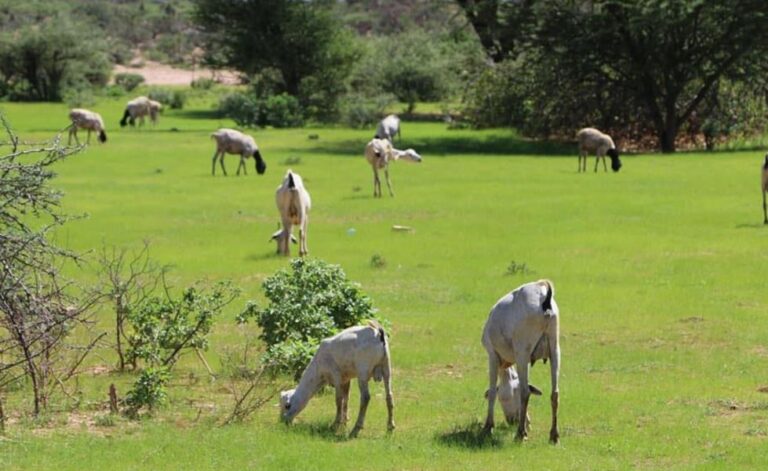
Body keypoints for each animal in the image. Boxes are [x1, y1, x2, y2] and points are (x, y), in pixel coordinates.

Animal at [484, 278, 560, 444]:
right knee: (555, 393)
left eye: (503, 398)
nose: (512, 420)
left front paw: (488, 427)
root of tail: (542, 293)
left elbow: (492, 392)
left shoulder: (492, 355)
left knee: (525, 392)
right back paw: (554, 435)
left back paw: (520, 433)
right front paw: (527, 422)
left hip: (522, 351)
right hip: (554, 347)